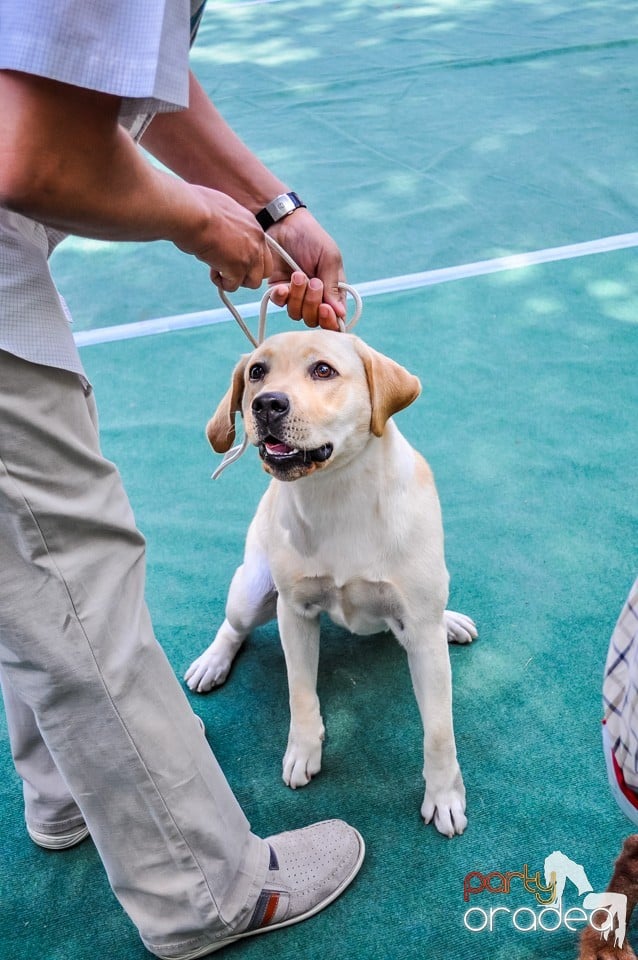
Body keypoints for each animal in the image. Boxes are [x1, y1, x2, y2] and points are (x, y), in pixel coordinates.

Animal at [184, 328, 476, 832]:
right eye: (256, 372)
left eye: (323, 370)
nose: (266, 404)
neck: (338, 495)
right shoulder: (295, 613)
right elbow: (301, 694)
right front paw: (304, 751)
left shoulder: (422, 633)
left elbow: (439, 729)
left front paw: (443, 795)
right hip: (252, 593)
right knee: (234, 627)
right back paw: (212, 661)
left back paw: (452, 621)